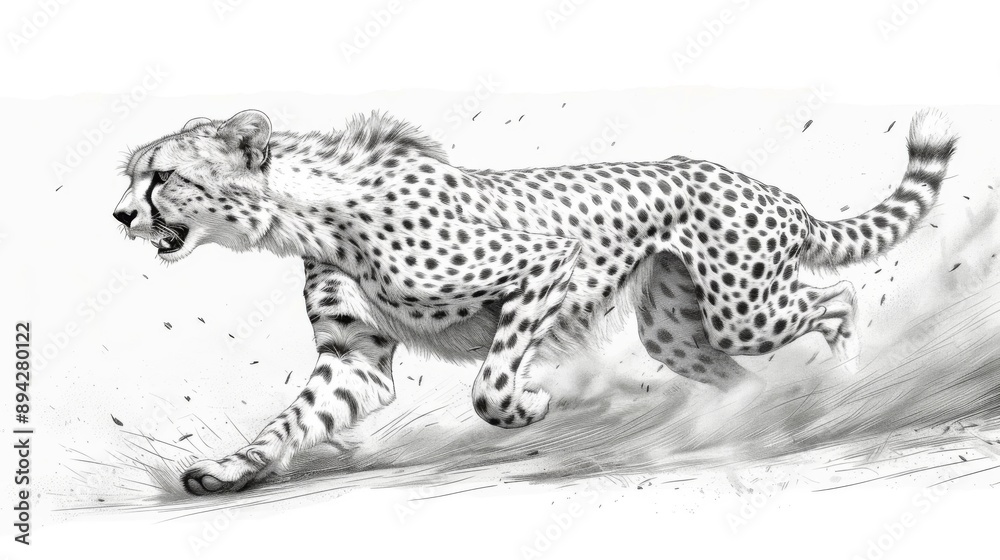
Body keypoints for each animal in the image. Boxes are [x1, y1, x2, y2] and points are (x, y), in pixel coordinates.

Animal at [112, 108, 956, 495]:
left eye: (161, 176)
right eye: (134, 176)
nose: (119, 216)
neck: (311, 210)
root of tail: (774, 191)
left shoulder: (546, 261)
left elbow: (492, 383)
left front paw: (536, 405)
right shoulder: (354, 358)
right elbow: (290, 419)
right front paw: (229, 470)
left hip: (743, 309)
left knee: (840, 294)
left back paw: (845, 384)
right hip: (679, 330)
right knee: (745, 371)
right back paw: (763, 416)